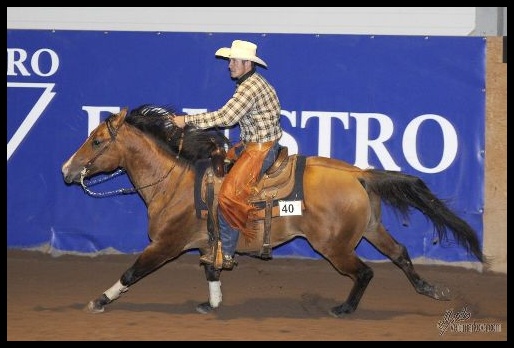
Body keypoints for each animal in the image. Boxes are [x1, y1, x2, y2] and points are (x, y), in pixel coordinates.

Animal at [61, 104, 484, 316]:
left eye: (96, 140)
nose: (66, 170)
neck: (176, 182)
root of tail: (360, 174)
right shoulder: (207, 243)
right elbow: (212, 270)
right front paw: (211, 304)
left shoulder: (166, 243)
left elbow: (132, 272)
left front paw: (98, 301)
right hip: (371, 228)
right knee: (400, 254)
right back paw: (432, 290)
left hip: (335, 246)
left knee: (364, 272)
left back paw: (343, 309)